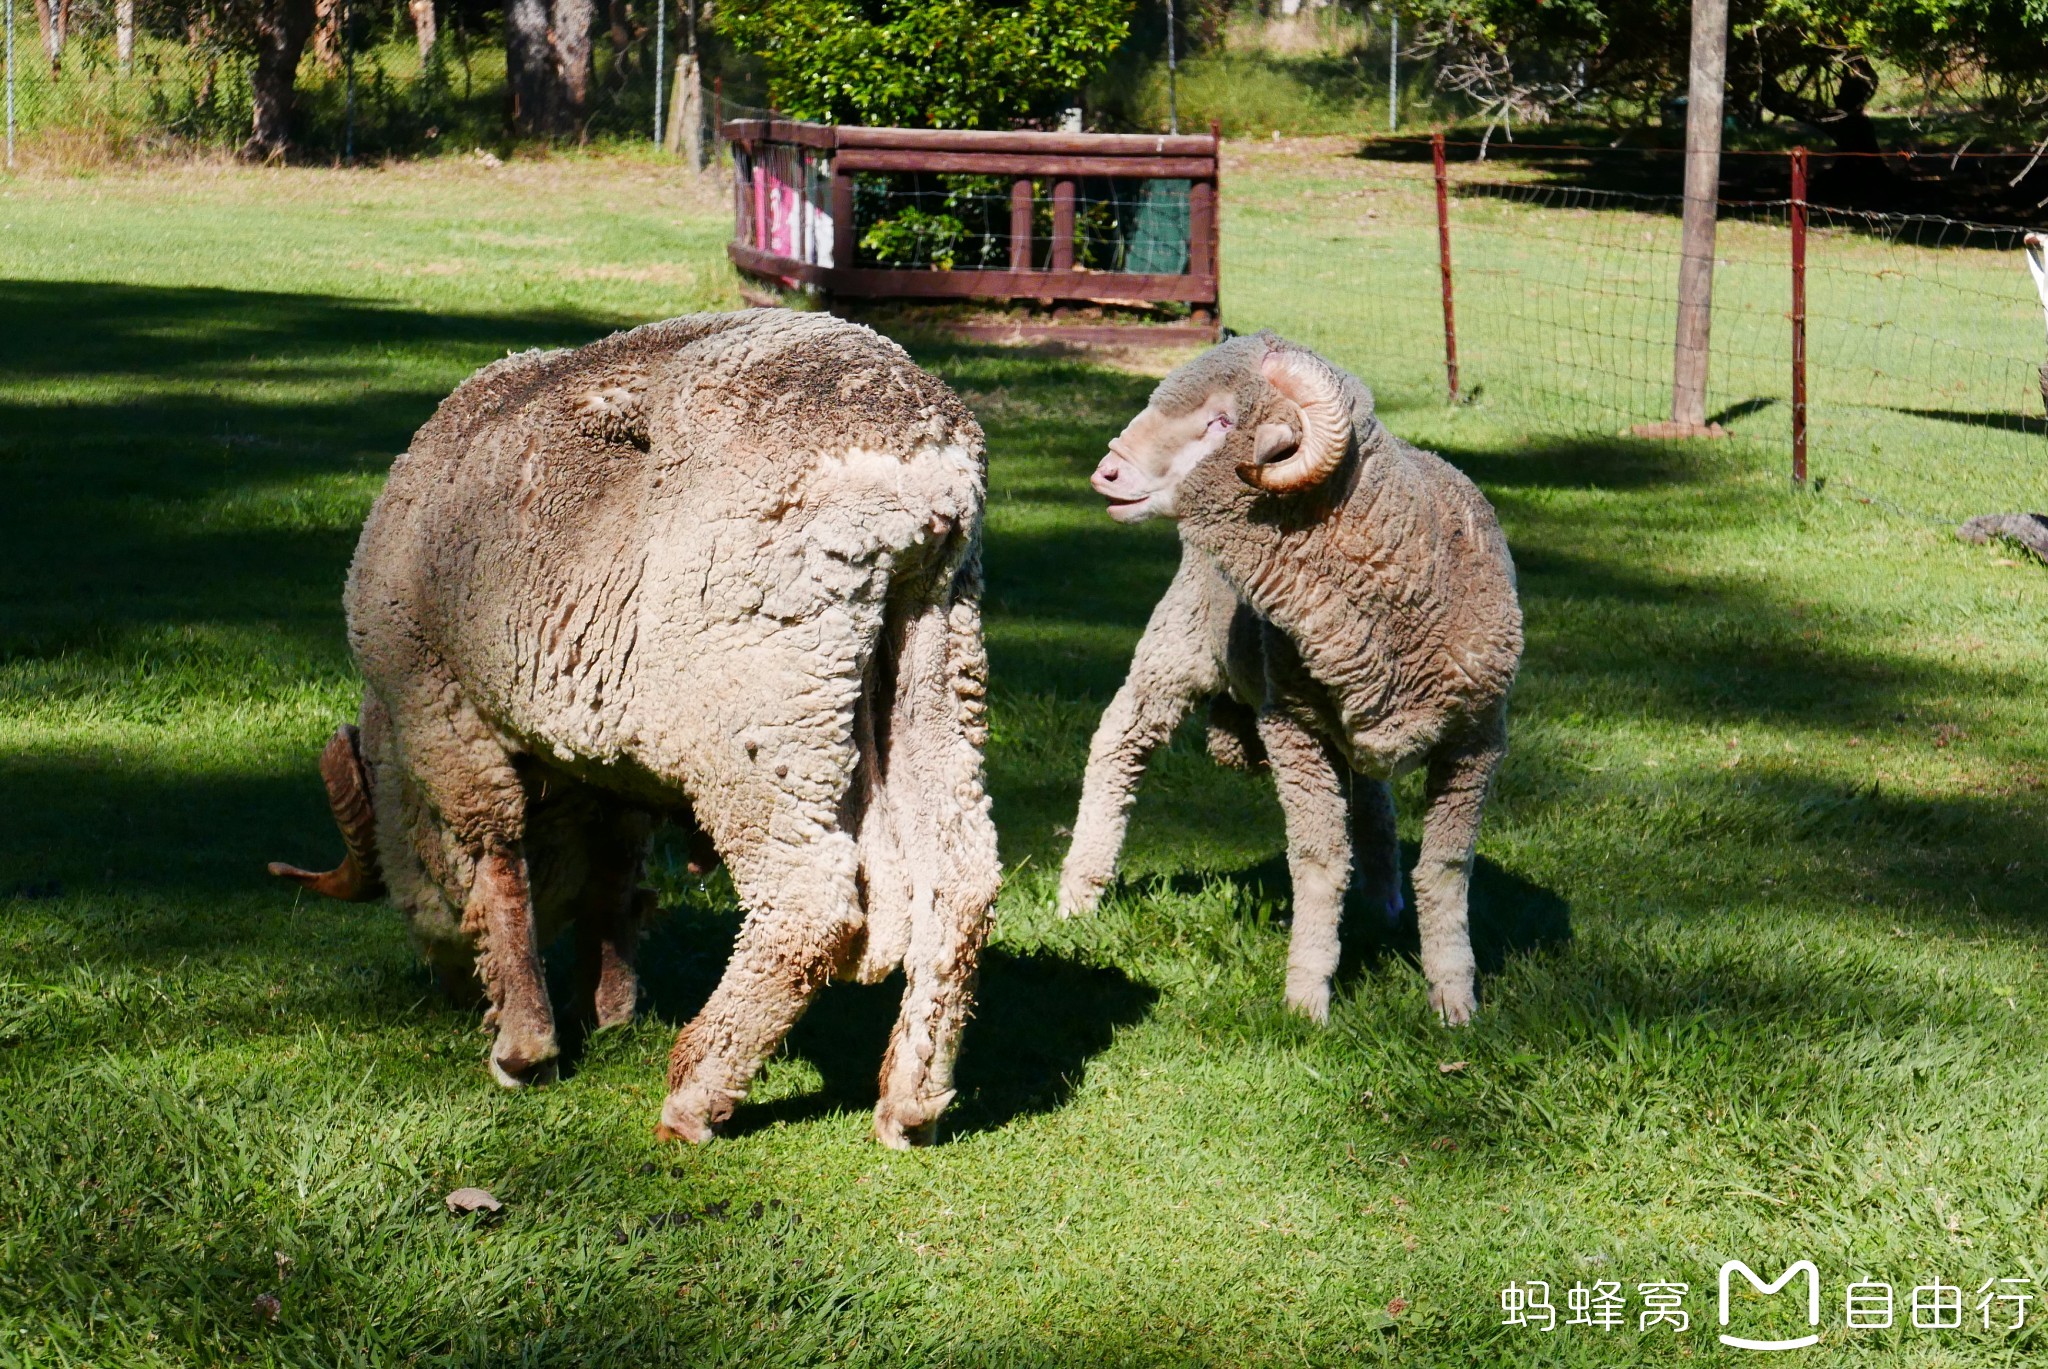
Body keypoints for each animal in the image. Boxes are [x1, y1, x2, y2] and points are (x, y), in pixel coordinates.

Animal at [268, 307, 1003, 1147]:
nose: (446, 989)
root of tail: (925, 471)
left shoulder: (442, 709)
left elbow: (497, 864)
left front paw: (524, 1046)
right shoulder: (610, 763)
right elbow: (613, 875)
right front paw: (610, 1007)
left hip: (759, 714)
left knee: (808, 905)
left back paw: (696, 1093)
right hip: (937, 663)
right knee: (961, 880)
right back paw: (911, 1103)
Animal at [1056, 332, 1523, 1020]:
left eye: (1221, 421)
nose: (1104, 473)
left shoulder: (1478, 738)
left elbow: (1444, 869)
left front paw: (1453, 997)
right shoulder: (1292, 727)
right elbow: (1318, 861)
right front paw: (1307, 998)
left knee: (1373, 797)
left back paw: (1385, 900)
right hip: (1177, 649)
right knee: (1119, 744)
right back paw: (1078, 894)